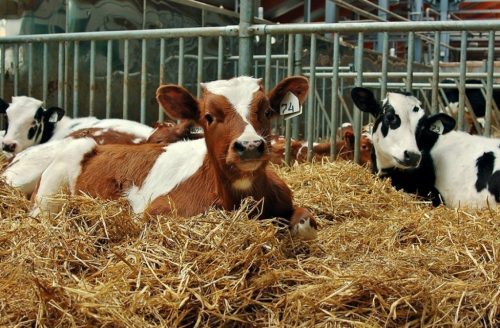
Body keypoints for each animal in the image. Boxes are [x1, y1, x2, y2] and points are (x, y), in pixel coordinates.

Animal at [33, 76, 318, 238]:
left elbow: (305, 221)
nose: (249, 145)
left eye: (268, 111)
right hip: (49, 193)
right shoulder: (154, 214)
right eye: (208, 116)